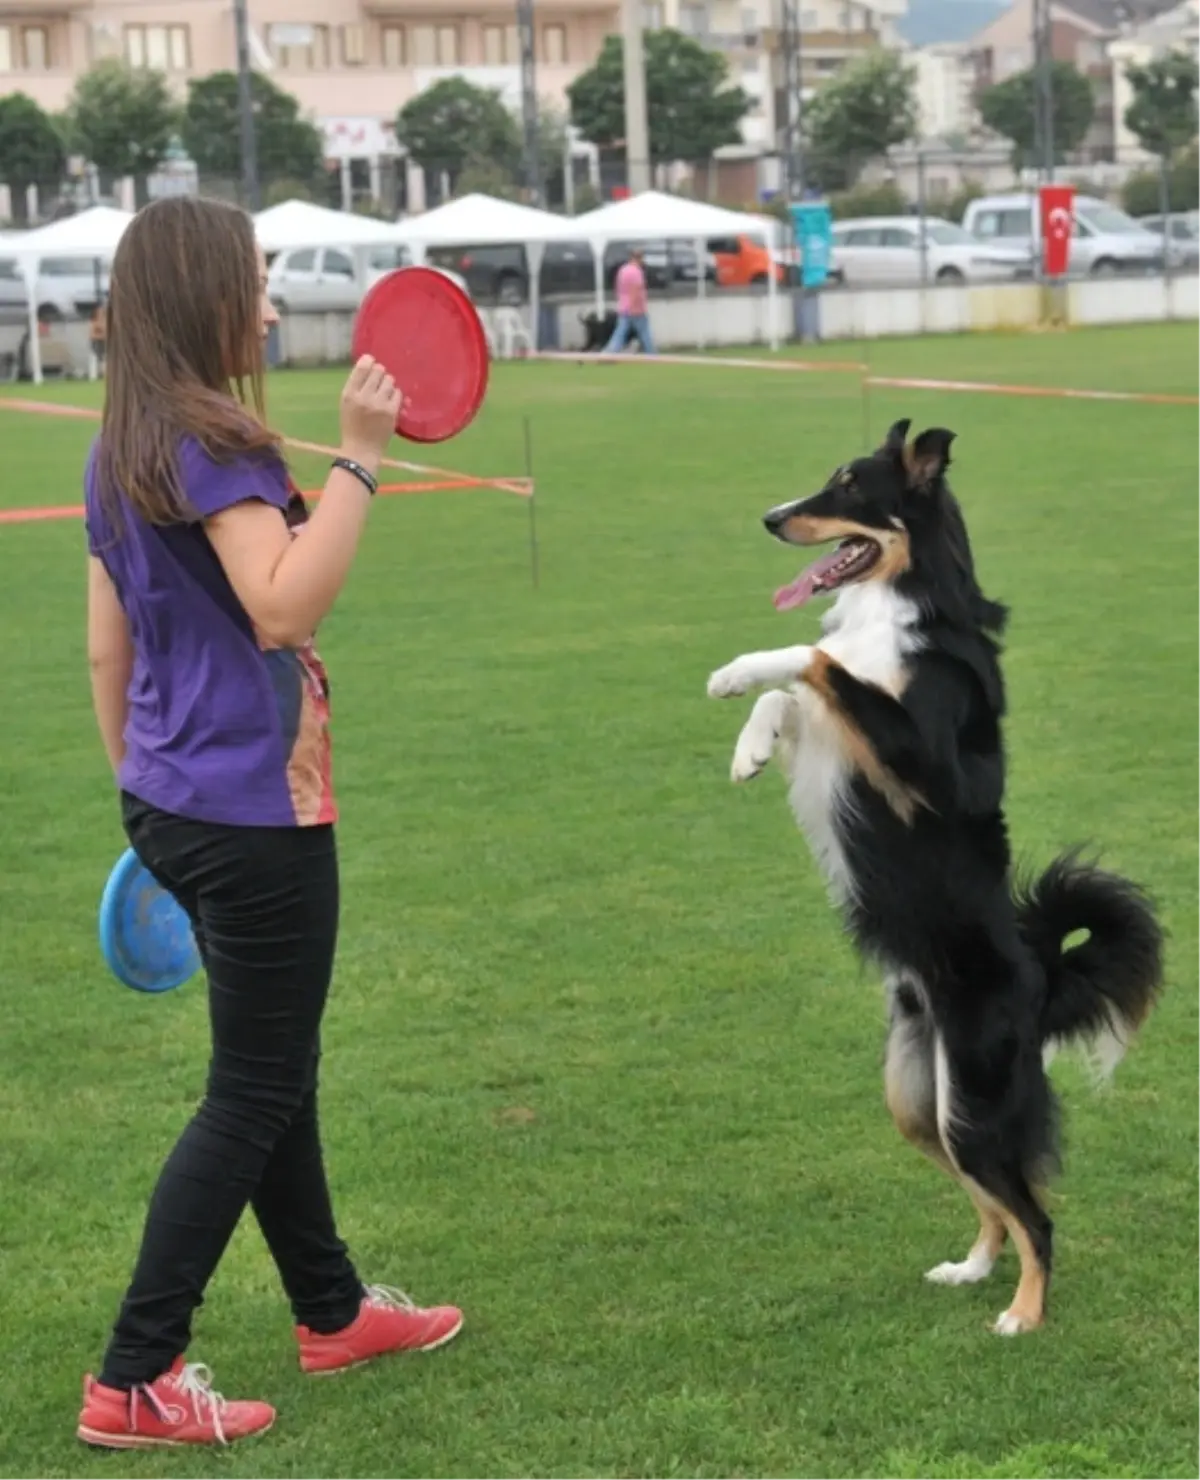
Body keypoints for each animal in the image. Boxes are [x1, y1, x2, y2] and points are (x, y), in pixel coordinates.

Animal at [704, 420, 1165, 1343]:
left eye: (850, 485)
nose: (771, 518)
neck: (900, 603)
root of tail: (1043, 974)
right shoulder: (841, 736)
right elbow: (800, 691)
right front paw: (749, 746)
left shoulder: (920, 762)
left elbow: (813, 657)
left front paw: (735, 671)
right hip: (918, 1099)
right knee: (994, 1200)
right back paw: (974, 1268)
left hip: (975, 1097)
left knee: (1037, 1212)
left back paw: (1023, 1313)